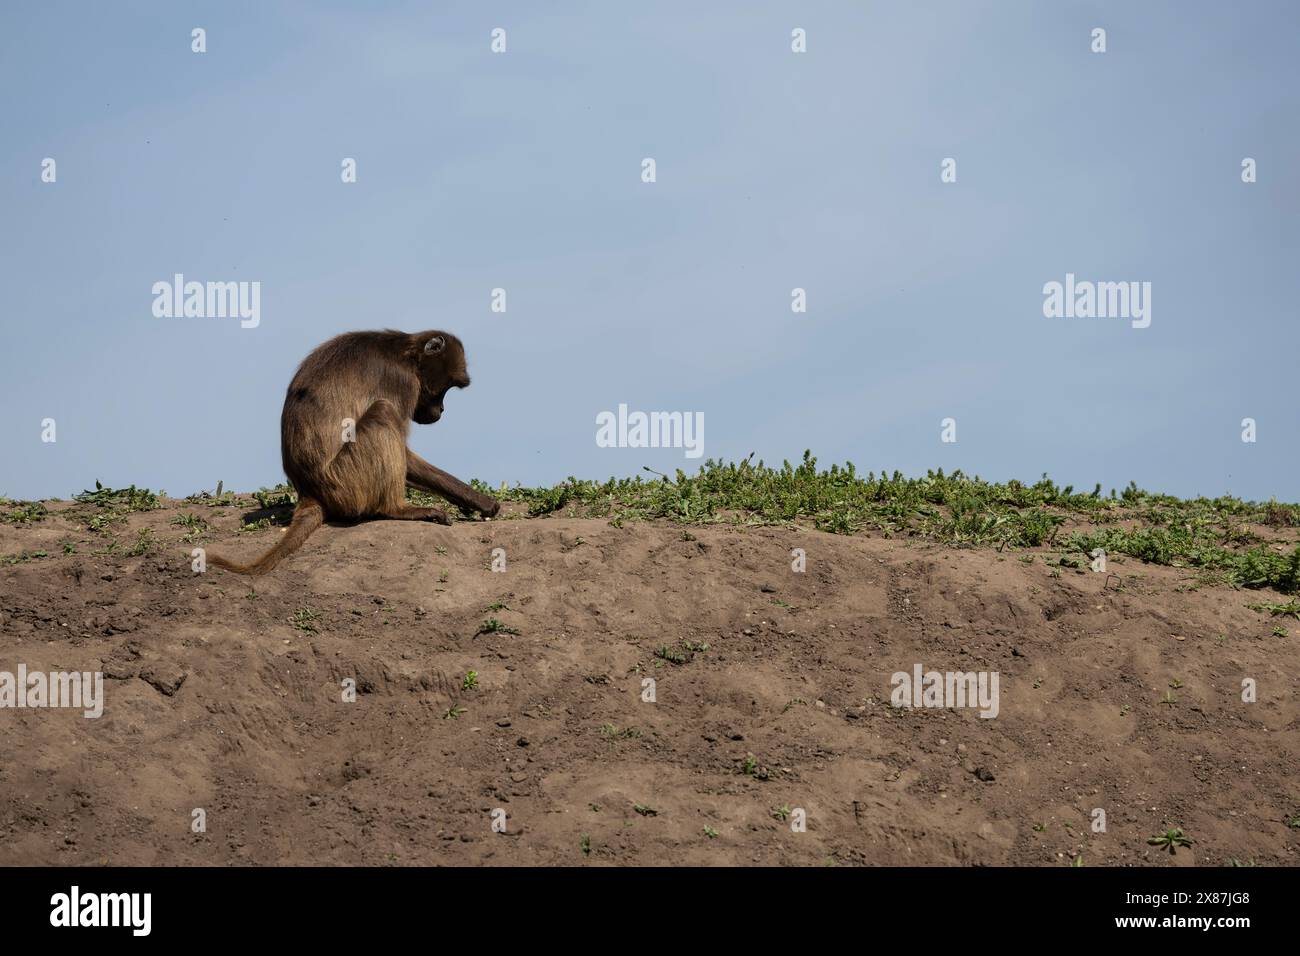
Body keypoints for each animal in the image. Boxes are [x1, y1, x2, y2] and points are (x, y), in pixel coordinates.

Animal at [210, 329, 499, 574]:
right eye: (445, 389)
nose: (441, 411)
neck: (406, 354)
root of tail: (309, 492)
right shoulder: (402, 383)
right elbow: (405, 451)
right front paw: (481, 500)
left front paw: (469, 502)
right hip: (347, 482)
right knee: (383, 412)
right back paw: (398, 509)